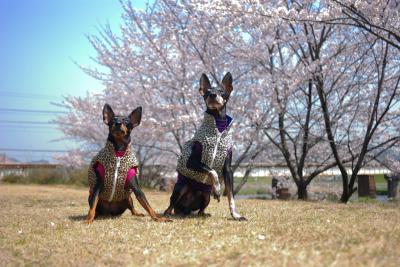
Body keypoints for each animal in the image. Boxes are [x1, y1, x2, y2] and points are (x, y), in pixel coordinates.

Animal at [163, 72, 245, 221]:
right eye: (207, 92)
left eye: (221, 91)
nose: (213, 95)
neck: (218, 126)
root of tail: (187, 210)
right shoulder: (191, 162)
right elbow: (211, 170)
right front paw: (217, 188)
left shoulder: (228, 170)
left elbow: (231, 195)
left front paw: (236, 215)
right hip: (181, 187)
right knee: (171, 205)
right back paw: (168, 214)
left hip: (206, 196)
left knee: (201, 209)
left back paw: (204, 214)